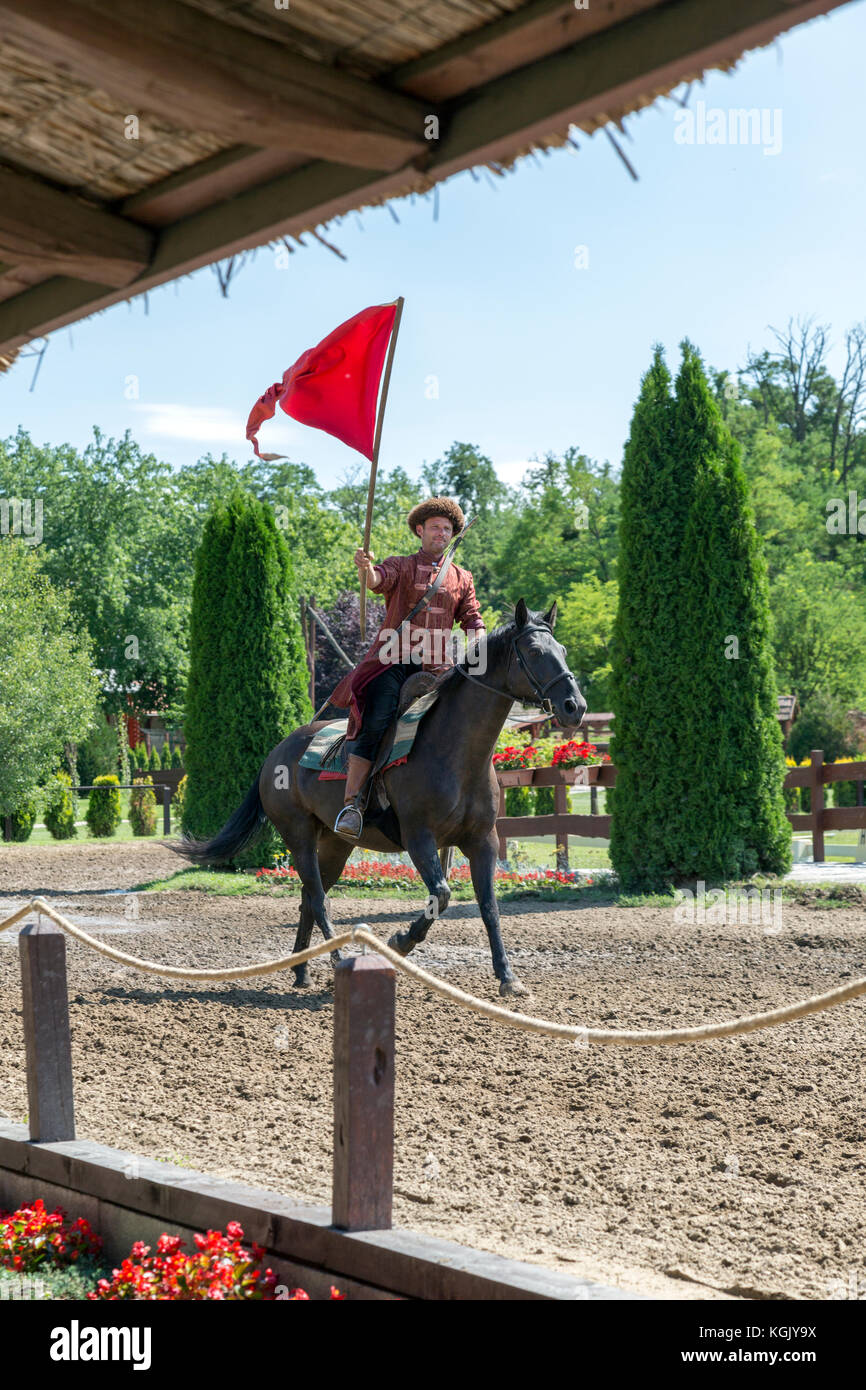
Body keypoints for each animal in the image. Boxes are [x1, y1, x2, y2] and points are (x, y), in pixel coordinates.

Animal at [175, 603, 586, 995]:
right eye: (534, 651)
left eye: (563, 650)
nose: (575, 706)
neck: (455, 753)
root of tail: (276, 752)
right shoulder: (419, 838)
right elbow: (441, 894)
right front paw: (400, 941)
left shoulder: (483, 842)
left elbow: (488, 908)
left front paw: (508, 977)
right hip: (298, 836)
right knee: (319, 900)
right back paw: (336, 960)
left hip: (336, 845)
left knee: (309, 898)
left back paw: (302, 971)